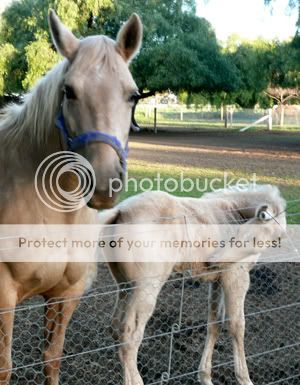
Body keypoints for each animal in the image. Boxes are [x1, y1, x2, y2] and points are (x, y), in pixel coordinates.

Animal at [0, 9, 143, 384]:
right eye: (69, 91)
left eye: (133, 96)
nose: (105, 183)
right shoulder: (3, 294)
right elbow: (4, 367)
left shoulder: (66, 295)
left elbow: (52, 359)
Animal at [99, 184, 288, 384]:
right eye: (253, 237)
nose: (214, 260)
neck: (232, 212)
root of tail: (120, 210)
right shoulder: (236, 276)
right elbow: (237, 326)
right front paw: (244, 379)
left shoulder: (217, 279)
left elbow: (215, 323)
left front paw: (205, 377)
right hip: (145, 289)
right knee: (130, 335)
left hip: (125, 286)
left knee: (116, 328)